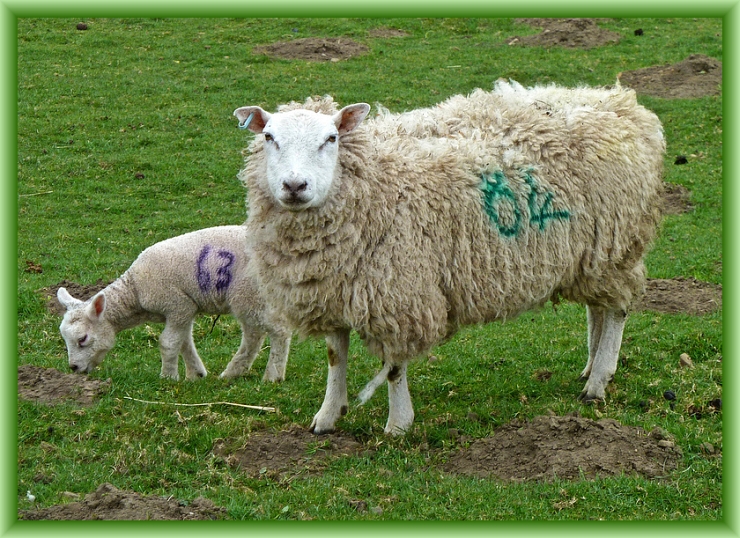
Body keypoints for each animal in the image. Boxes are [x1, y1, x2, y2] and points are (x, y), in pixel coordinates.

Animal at [57, 225, 292, 382]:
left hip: (249, 293)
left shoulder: (177, 305)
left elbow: (168, 343)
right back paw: (232, 373)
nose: (73, 367)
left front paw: (168, 377)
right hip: (252, 297)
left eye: (82, 339)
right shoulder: (183, 311)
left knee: (278, 330)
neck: (135, 291)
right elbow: (184, 342)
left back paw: (273, 376)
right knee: (255, 336)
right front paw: (196, 374)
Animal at [233, 80, 665, 435]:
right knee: (598, 307)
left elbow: (394, 367)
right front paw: (327, 416)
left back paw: (598, 381)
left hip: (616, 244)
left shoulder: (399, 293)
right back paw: (592, 366)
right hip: (592, 254)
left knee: (617, 310)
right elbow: (334, 356)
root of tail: (621, 102)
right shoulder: (336, 288)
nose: (294, 186)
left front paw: (398, 424)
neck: (371, 179)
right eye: (269, 137)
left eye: (331, 138)